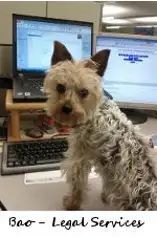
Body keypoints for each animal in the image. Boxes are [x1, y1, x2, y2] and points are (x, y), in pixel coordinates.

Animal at [43, 41, 157, 211]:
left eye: (84, 92)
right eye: (60, 87)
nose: (66, 108)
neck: (94, 110)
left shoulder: (79, 156)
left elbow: (77, 184)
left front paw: (72, 204)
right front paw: (104, 195)